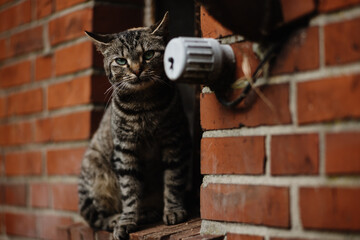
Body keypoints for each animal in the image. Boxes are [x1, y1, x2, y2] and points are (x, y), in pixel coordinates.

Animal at [77, 12, 193, 240]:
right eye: (121, 61)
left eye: (148, 55)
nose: (137, 70)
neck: (144, 105)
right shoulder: (125, 148)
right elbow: (129, 190)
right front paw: (127, 221)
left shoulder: (174, 139)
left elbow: (174, 179)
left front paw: (173, 209)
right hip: (94, 168)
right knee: (96, 217)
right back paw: (120, 218)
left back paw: (149, 212)